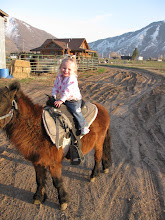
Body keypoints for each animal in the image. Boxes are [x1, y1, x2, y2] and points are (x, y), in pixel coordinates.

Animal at [0, 81, 111, 211]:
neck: (38, 128)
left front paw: (63, 201)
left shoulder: (54, 163)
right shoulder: (37, 162)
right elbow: (39, 180)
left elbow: (57, 182)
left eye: (2, 103)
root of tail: (101, 108)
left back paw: (94, 174)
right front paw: (38, 197)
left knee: (98, 156)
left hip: (98, 142)